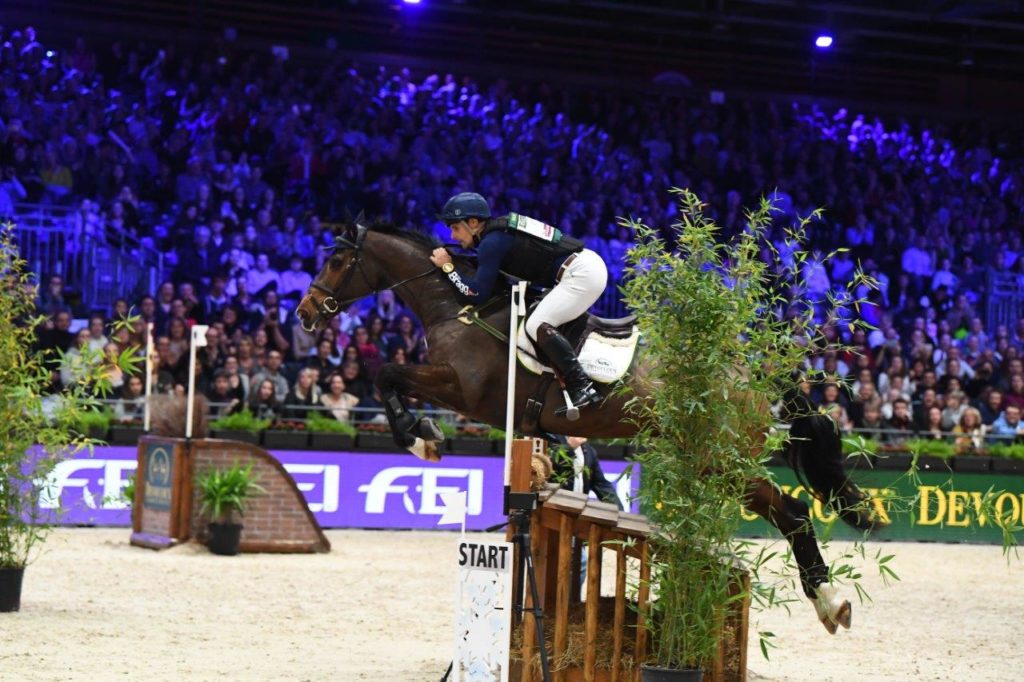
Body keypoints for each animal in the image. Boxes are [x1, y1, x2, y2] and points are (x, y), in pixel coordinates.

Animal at [296, 219, 880, 630]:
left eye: (338, 259)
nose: (304, 313)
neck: (458, 308)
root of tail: (751, 371)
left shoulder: (462, 388)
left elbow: (385, 373)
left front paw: (421, 439)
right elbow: (387, 375)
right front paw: (425, 437)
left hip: (720, 458)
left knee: (794, 512)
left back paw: (831, 602)